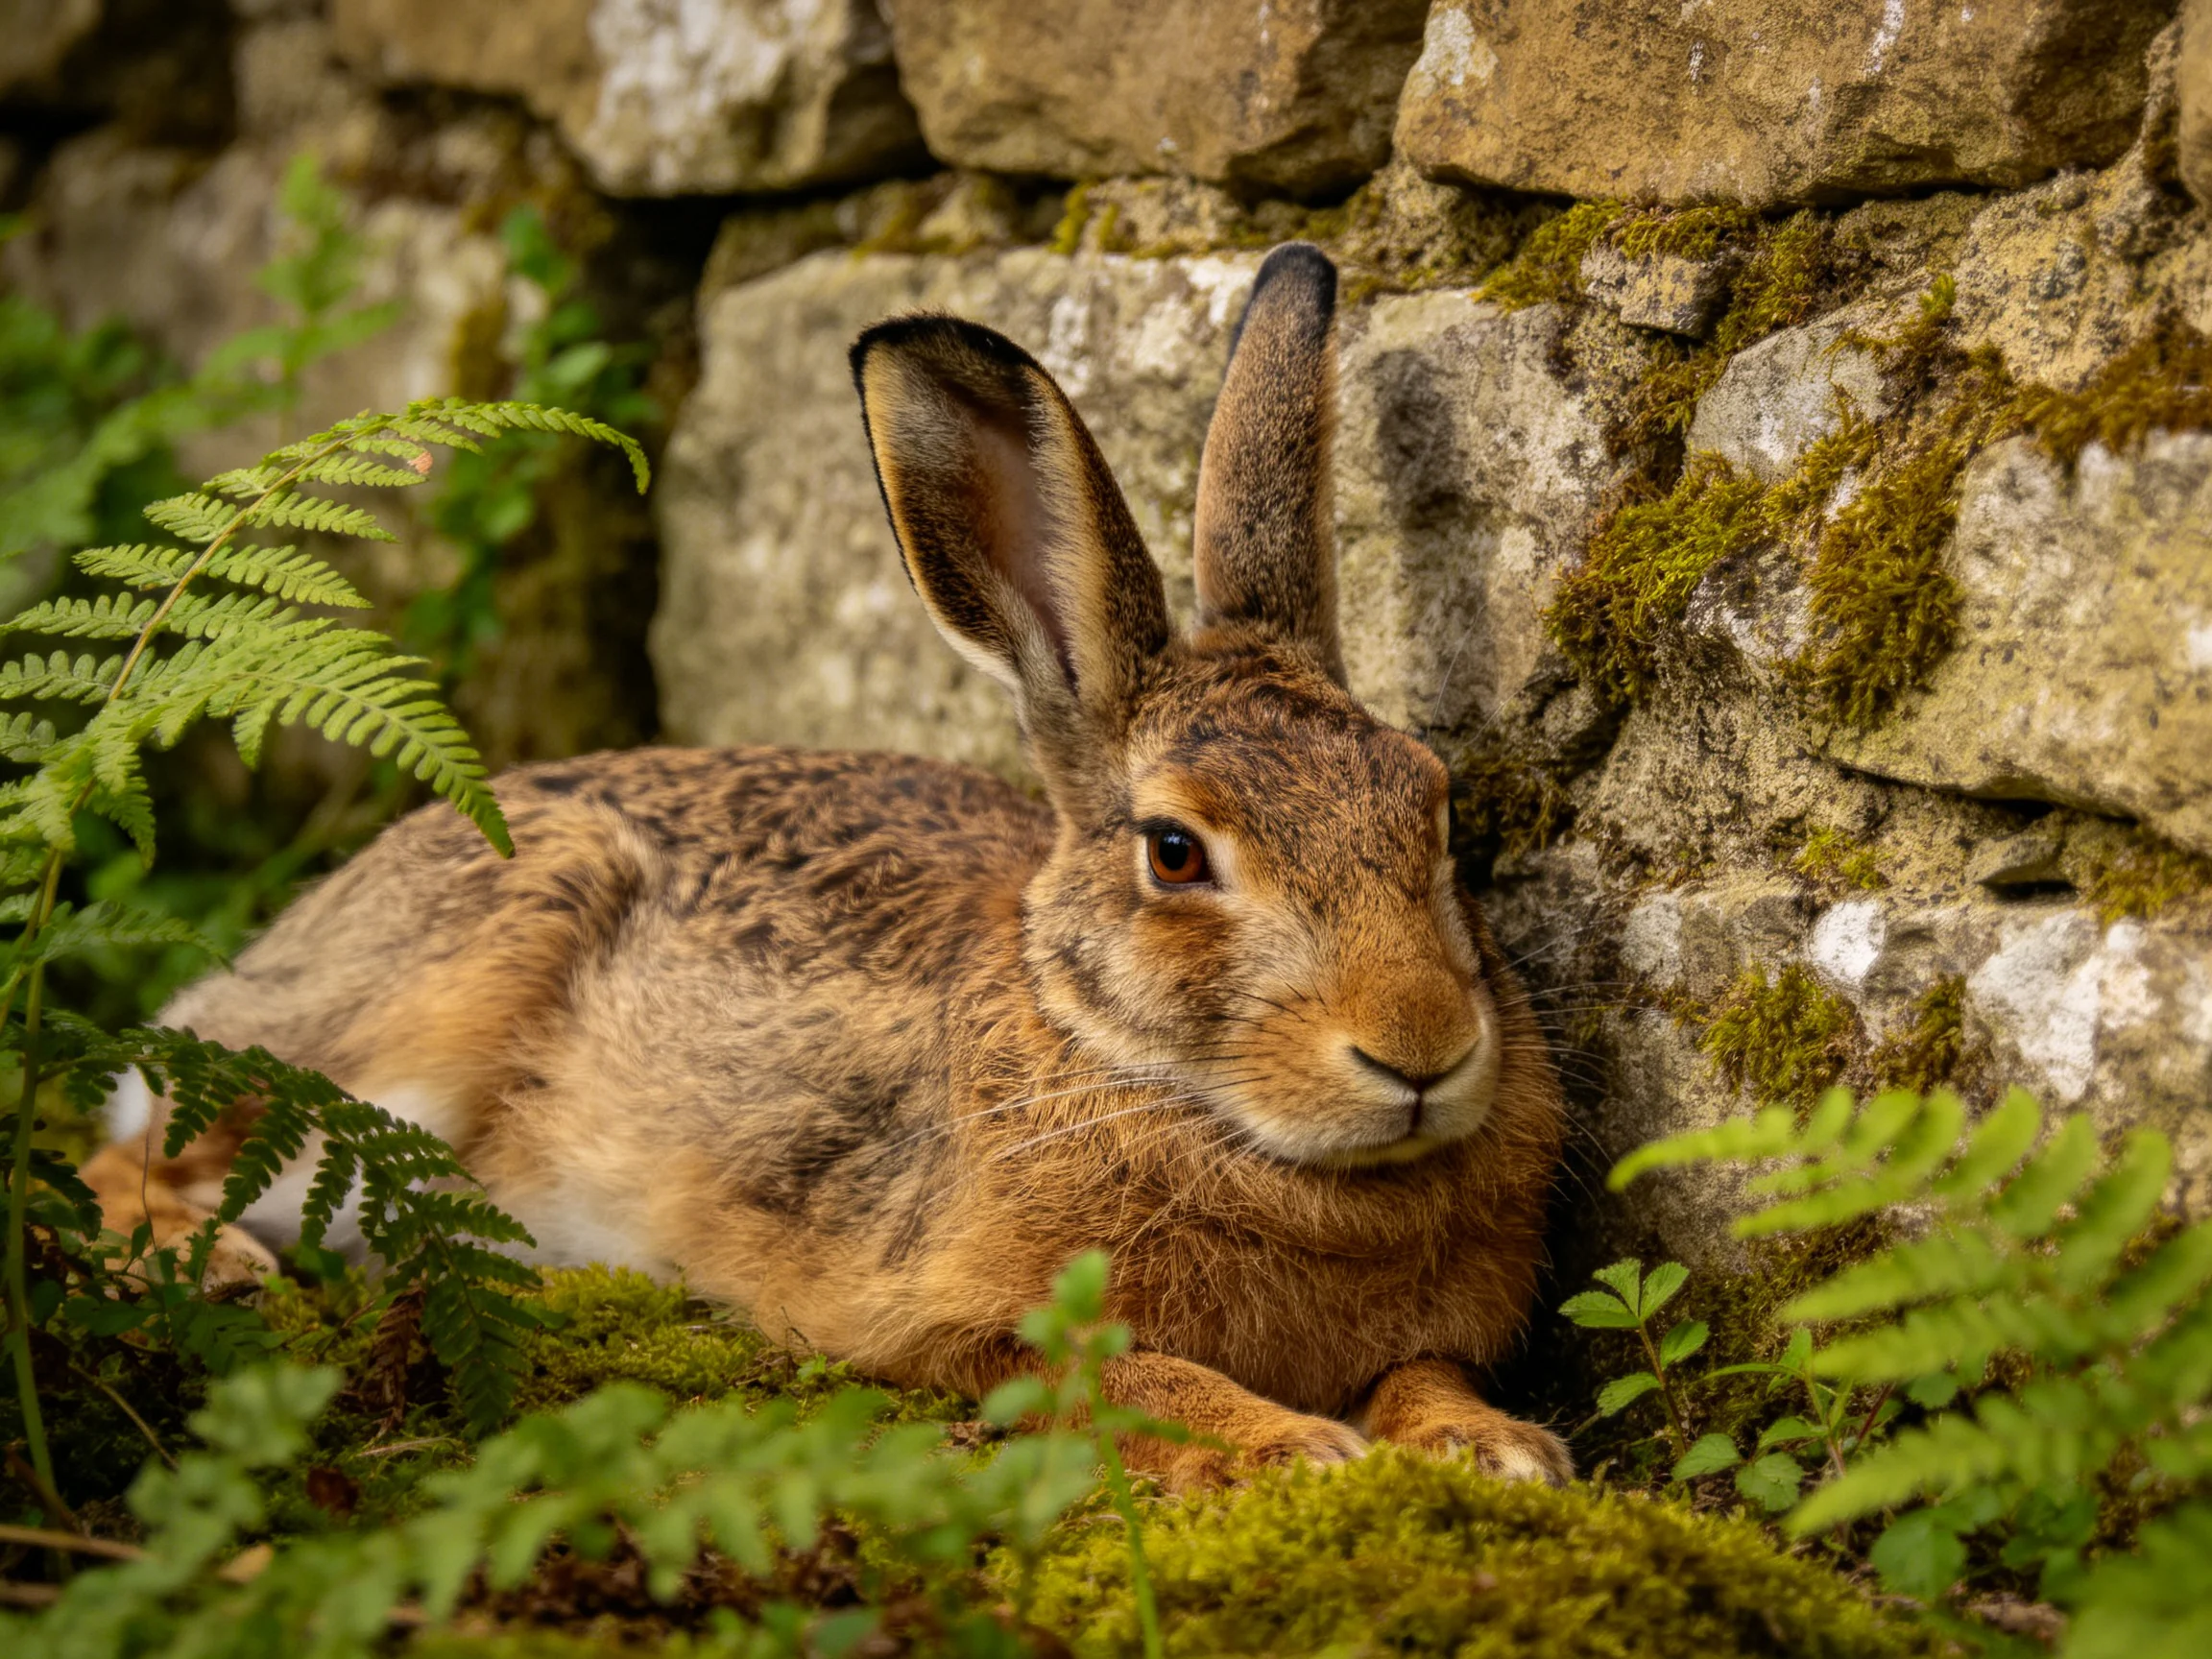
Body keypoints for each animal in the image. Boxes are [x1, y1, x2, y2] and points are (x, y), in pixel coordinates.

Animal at [82, 242, 1572, 1490]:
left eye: (1436, 812)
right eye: (1175, 853)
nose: (1423, 1052)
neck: (1139, 1074)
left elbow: (1424, 1370)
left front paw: (1494, 1449)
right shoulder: (949, 1326)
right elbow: (1126, 1379)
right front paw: (1295, 1451)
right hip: (415, 1017)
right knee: (136, 1148)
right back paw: (219, 1271)